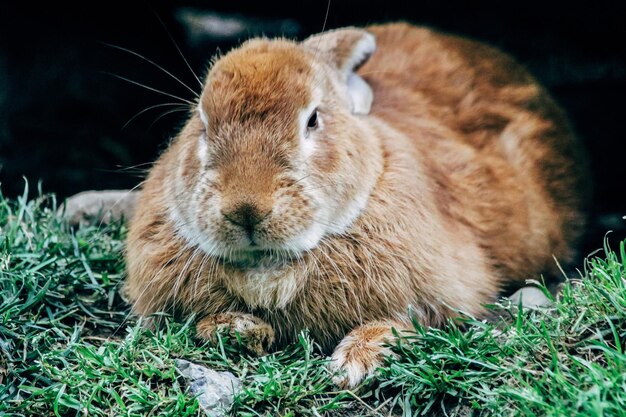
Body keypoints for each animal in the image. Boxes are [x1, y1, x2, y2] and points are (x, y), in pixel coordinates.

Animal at [124, 22, 588, 386]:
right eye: (202, 124)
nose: (246, 209)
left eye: (313, 119)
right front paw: (241, 330)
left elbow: (408, 321)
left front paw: (355, 362)